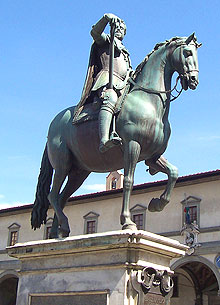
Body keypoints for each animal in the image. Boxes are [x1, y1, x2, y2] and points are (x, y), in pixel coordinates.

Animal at [31, 33, 201, 238]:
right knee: (53, 195)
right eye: (187, 52)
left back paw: (58, 232)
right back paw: (61, 227)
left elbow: (174, 173)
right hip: (62, 164)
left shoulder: (153, 156)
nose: (193, 80)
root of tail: (53, 125)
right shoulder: (132, 146)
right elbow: (128, 181)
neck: (148, 101)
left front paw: (157, 203)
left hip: (78, 172)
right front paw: (127, 221)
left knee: (62, 197)